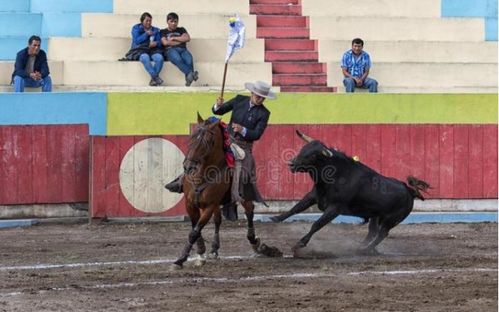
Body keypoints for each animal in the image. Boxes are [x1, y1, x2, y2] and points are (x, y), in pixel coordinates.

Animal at [173, 113, 282, 270]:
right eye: (192, 137)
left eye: (207, 141)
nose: (188, 167)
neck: (202, 174)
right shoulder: (190, 204)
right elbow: (195, 229)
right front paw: (200, 253)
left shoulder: (209, 206)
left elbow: (194, 232)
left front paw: (180, 259)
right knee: (218, 220)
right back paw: (214, 249)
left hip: (243, 196)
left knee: (250, 212)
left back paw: (256, 243)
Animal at [272, 129, 432, 254]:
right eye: (303, 148)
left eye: (313, 155)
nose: (292, 164)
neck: (336, 175)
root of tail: (409, 190)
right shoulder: (313, 195)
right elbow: (295, 208)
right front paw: (276, 218)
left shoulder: (335, 208)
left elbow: (317, 224)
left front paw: (299, 244)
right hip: (375, 216)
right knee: (372, 232)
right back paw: (361, 246)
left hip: (392, 219)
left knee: (382, 234)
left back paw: (365, 249)